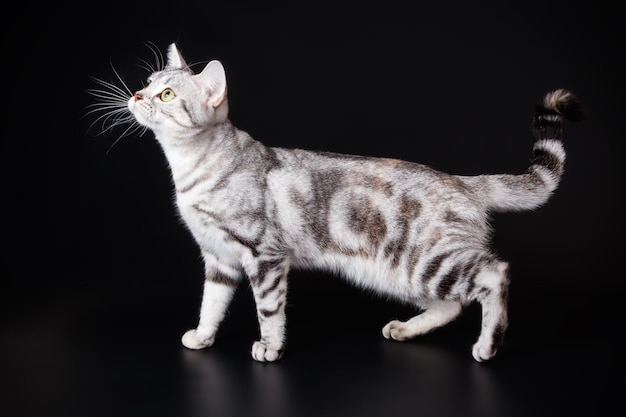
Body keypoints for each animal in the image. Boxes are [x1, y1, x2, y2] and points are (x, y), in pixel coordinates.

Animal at [88, 43, 580, 360]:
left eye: (167, 94)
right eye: (148, 81)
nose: (135, 94)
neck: (189, 169)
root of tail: (463, 182)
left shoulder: (265, 255)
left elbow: (269, 310)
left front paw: (270, 348)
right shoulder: (219, 259)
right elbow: (211, 304)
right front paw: (203, 337)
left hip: (428, 260)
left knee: (495, 274)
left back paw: (488, 345)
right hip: (402, 274)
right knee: (452, 304)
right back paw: (405, 329)